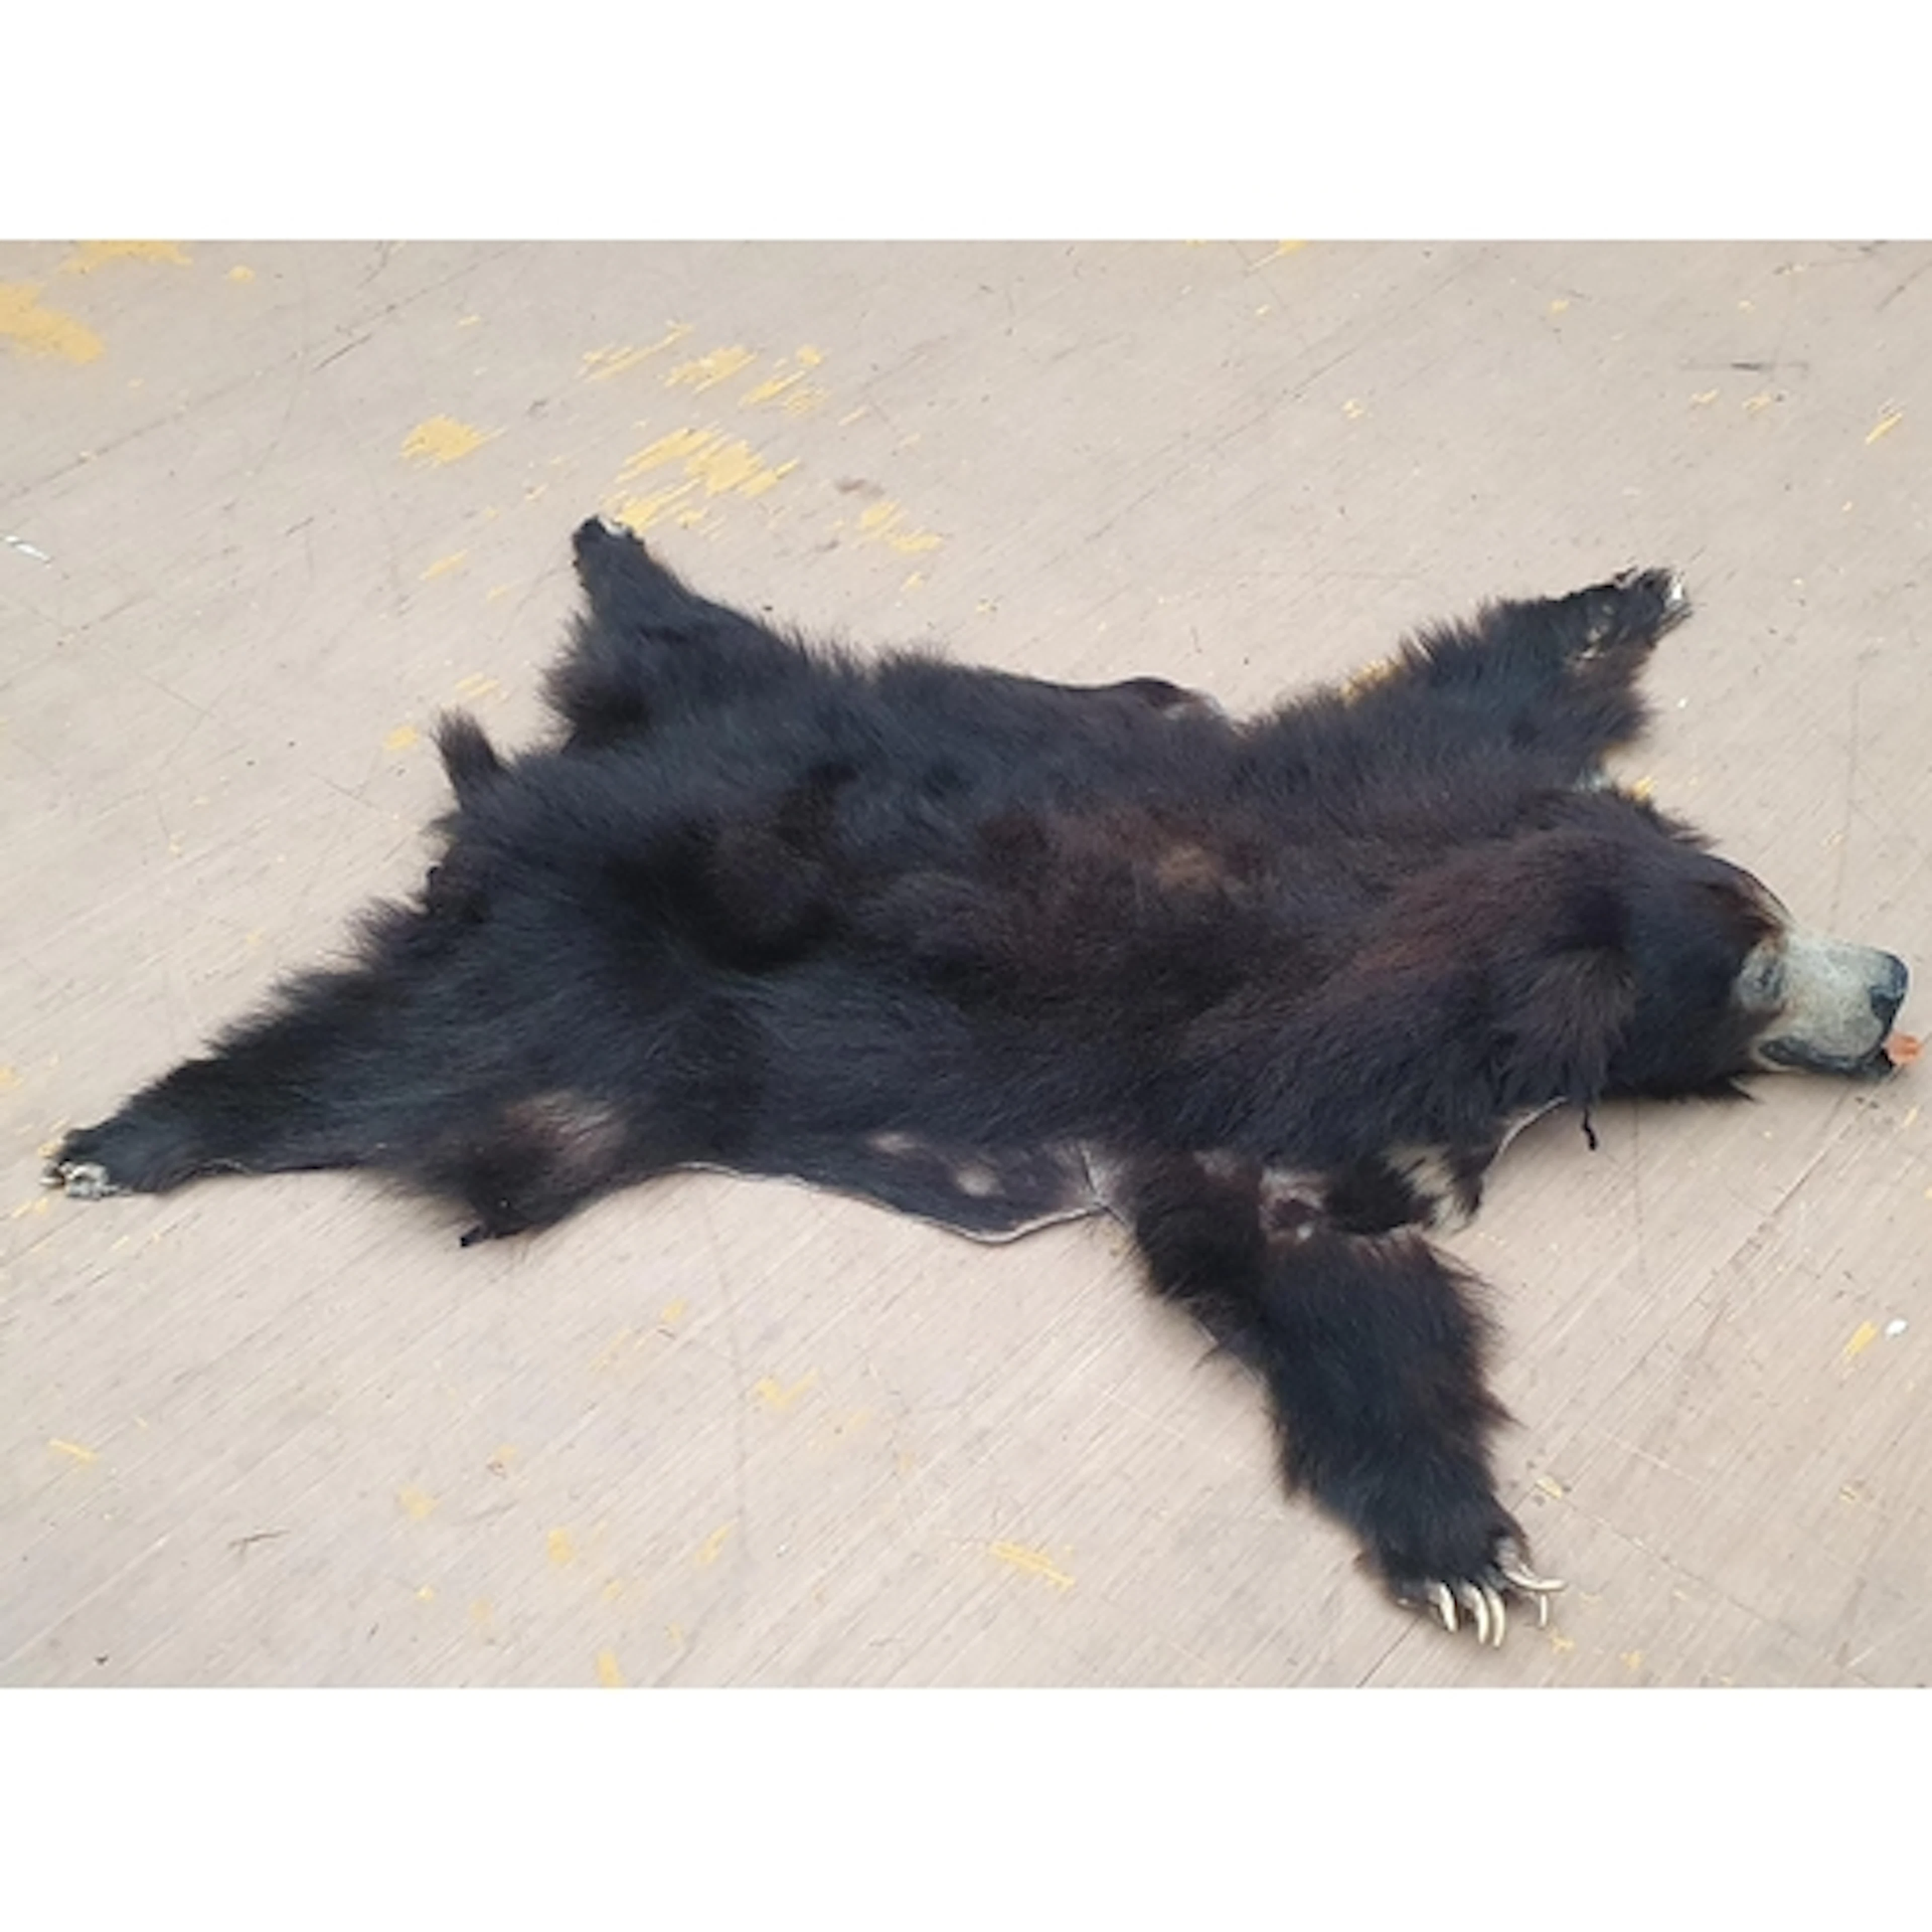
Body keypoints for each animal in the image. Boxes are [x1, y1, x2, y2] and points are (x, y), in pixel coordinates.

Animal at [46, 518, 1911, 1645]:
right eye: (1761, 973)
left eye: (1780, 921)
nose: (1892, 983)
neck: (1464, 952)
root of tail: (527, 799)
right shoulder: (1272, 1081)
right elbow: (1315, 1265)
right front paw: (1470, 1558)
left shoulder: (1415, 790)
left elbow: (1479, 699)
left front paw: (1634, 594)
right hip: (591, 1003)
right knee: (393, 1065)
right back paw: (126, 1136)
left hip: (770, 707)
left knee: (694, 631)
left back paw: (613, 542)